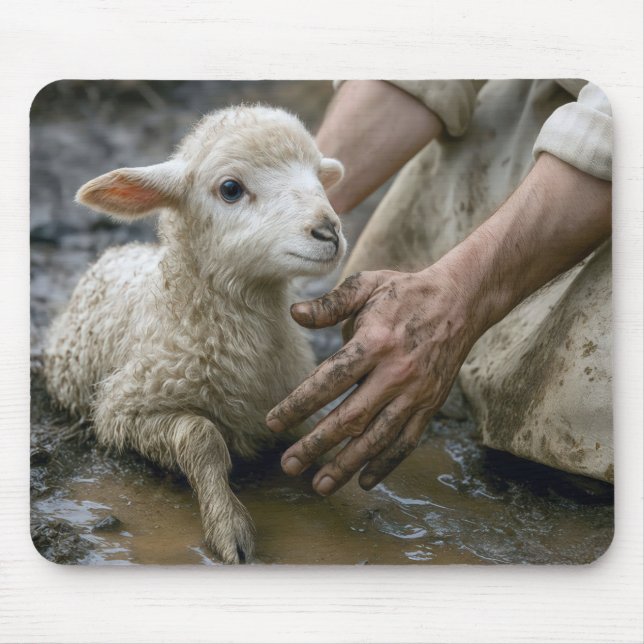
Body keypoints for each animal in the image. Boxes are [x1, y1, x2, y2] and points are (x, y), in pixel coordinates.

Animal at [43, 105, 346, 564]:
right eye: (230, 189)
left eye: (316, 175)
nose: (329, 231)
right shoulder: (122, 411)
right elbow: (202, 437)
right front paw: (228, 526)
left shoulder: (287, 396)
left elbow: (320, 426)